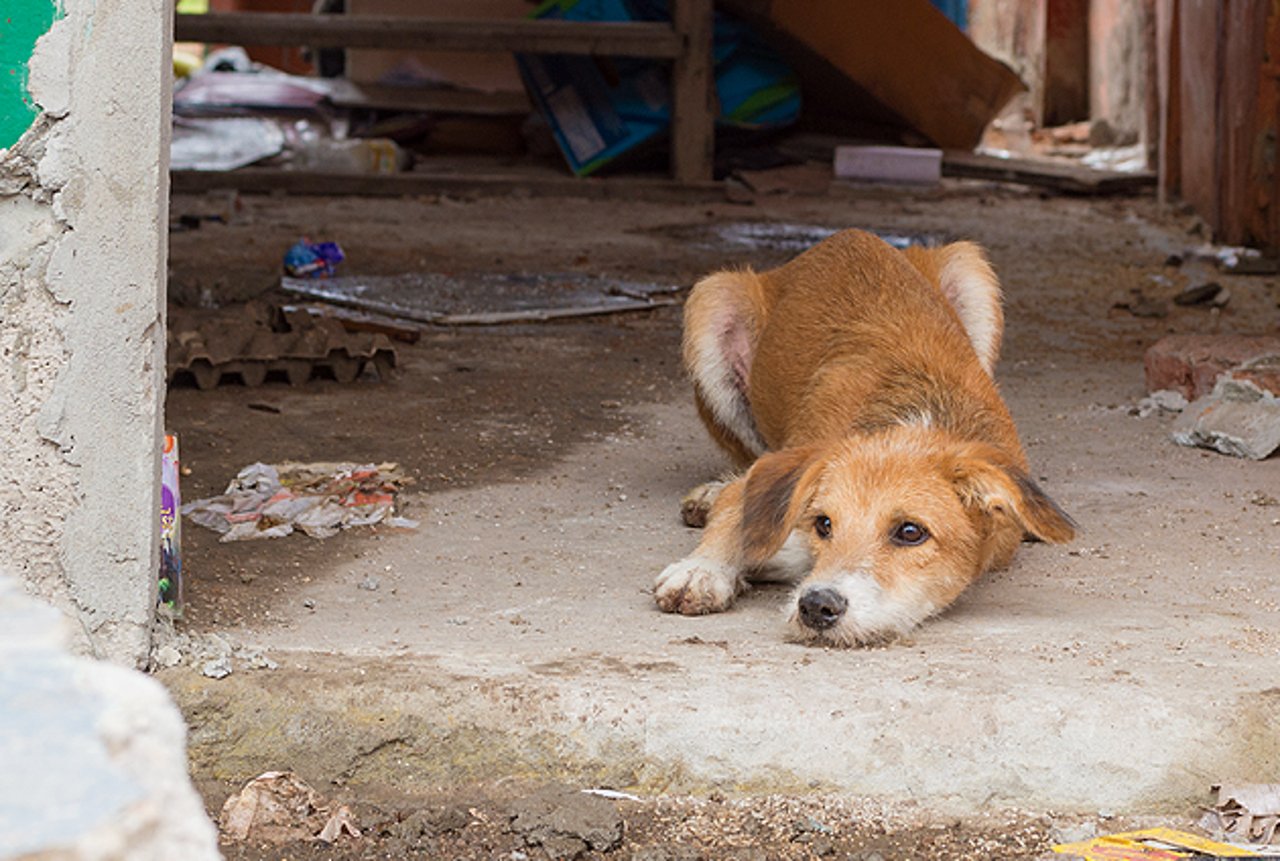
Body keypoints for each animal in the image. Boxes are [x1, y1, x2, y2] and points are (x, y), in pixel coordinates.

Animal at [655, 227, 1075, 644]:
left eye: (911, 532)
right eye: (825, 524)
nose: (815, 606)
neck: (914, 425)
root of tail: (846, 236)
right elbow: (739, 508)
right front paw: (702, 570)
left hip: (969, 266)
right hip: (712, 298)